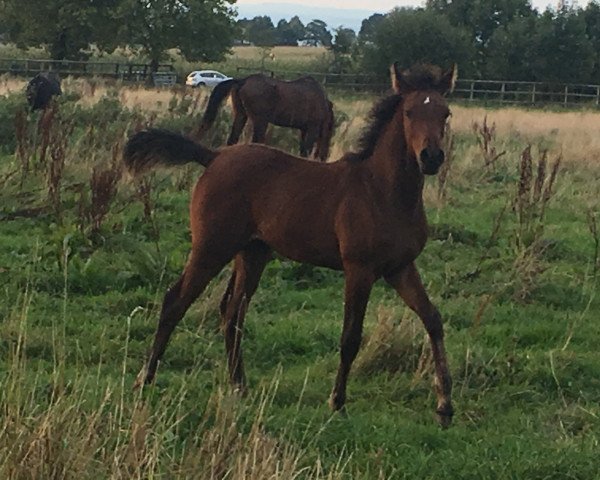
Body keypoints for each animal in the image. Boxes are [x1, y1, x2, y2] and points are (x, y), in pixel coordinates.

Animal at [198, 73, 336, 161]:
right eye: (329, 136)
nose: (324, 157)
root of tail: (243, 80)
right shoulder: (312, 128)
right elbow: (306, 150)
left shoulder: (303, 129)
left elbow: (302, 150)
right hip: (260, 121)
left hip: (241, 116)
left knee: (233, 140)